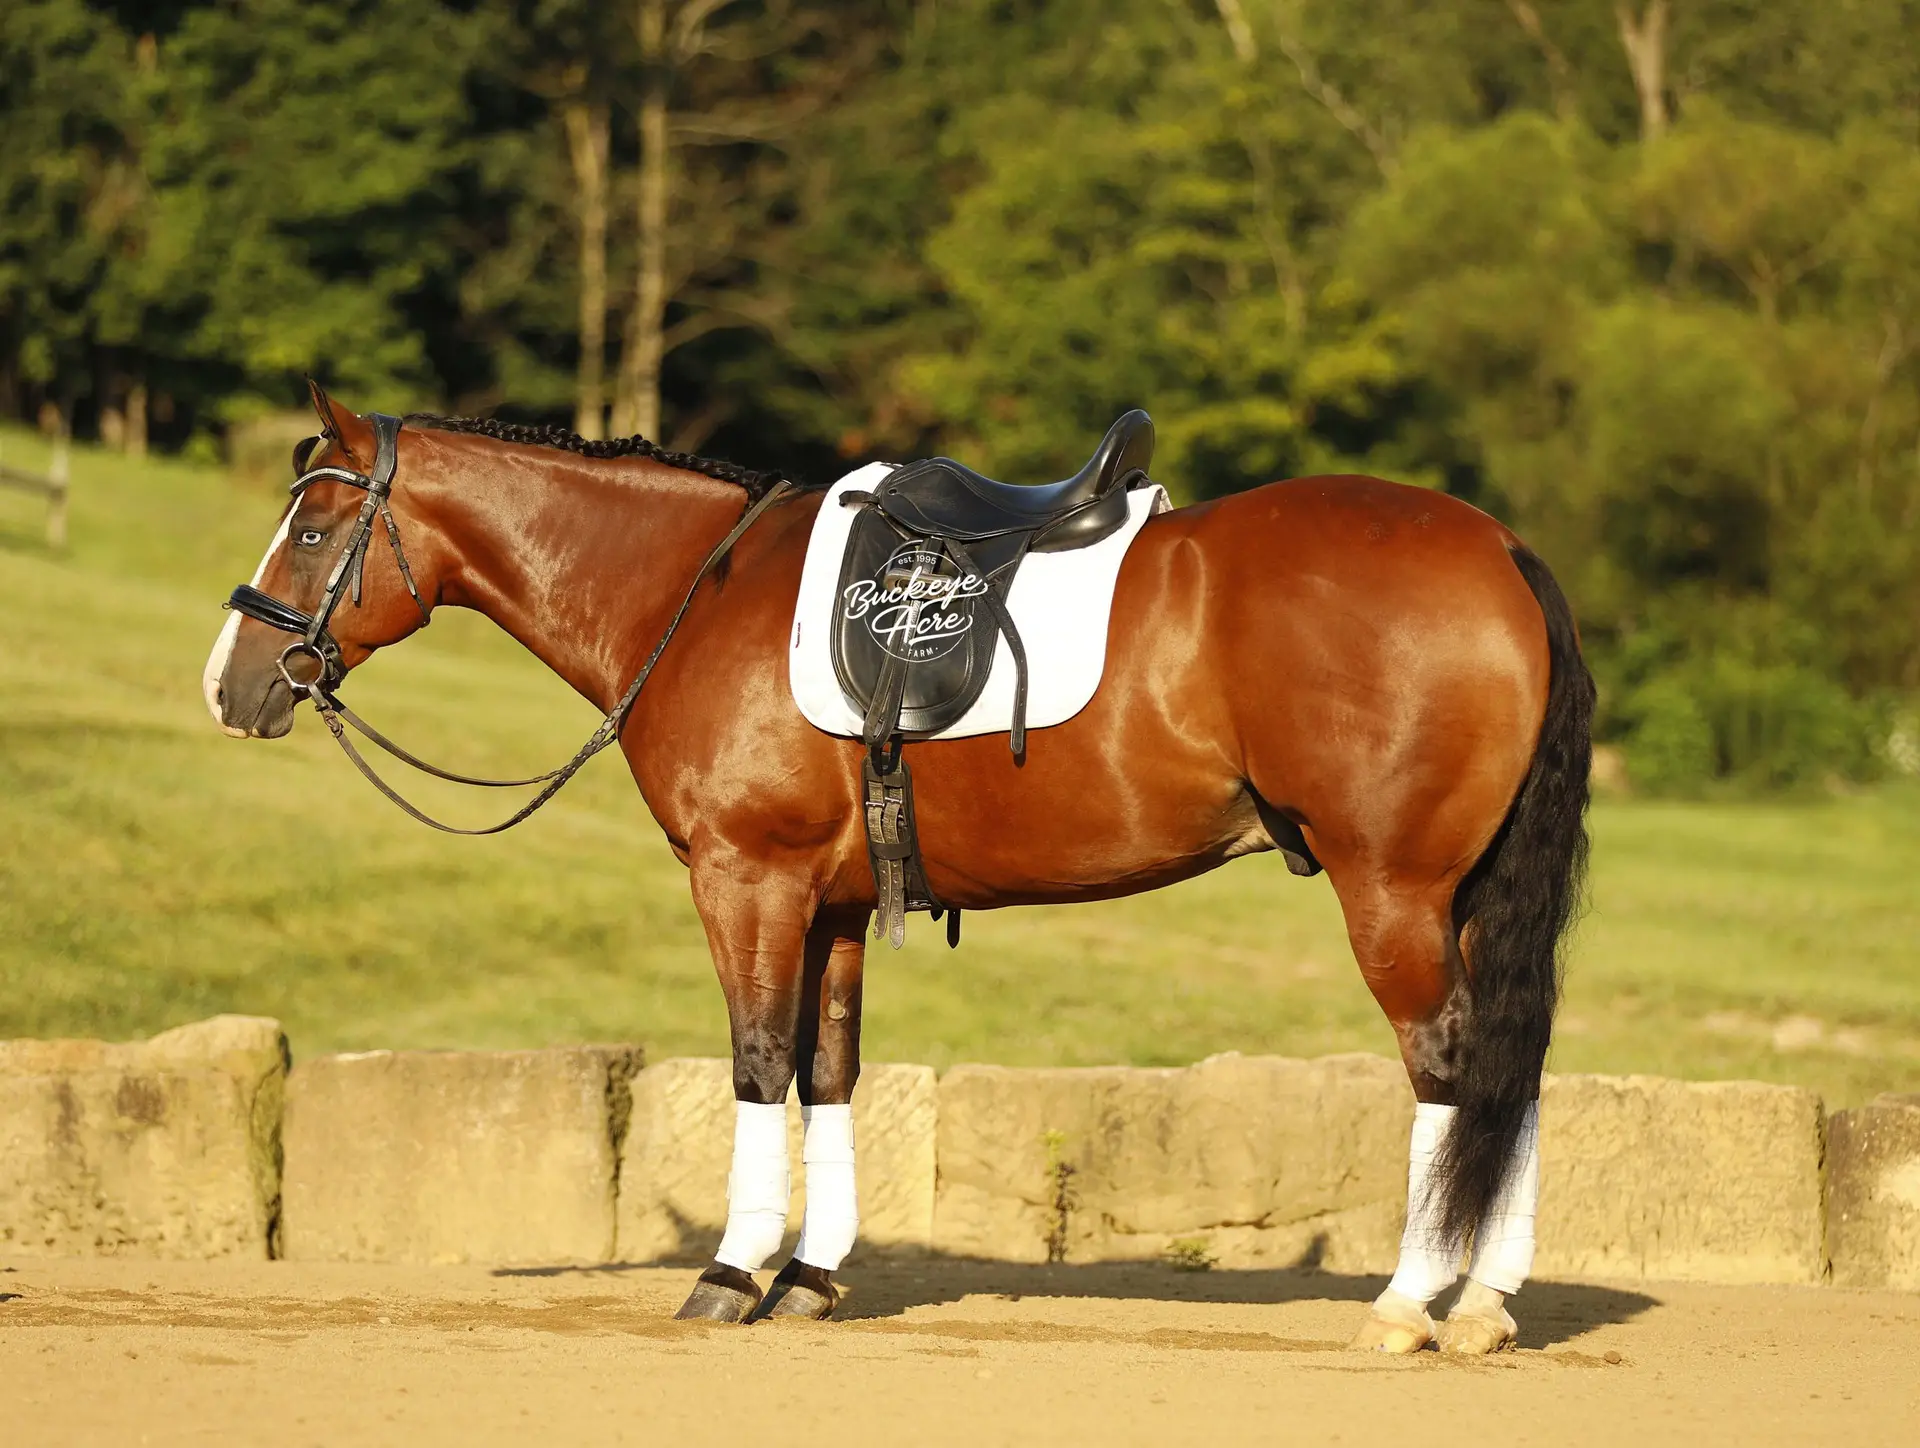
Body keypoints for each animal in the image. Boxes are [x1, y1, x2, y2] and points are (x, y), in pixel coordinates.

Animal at [204, 383, 1592, 1354]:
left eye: (315, 524)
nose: (231, 684)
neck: (700, 593)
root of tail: (1504, 550)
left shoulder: (747, 879)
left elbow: (757, 1060)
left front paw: (730, 1272)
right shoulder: (833, 904)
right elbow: (829, 1071)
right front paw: (810, 1278)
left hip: (1393, 891)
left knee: (1448, 1064)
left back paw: (1411, 1300)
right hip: (1466, 898)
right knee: (1507, 1071)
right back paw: (1485, 1302)